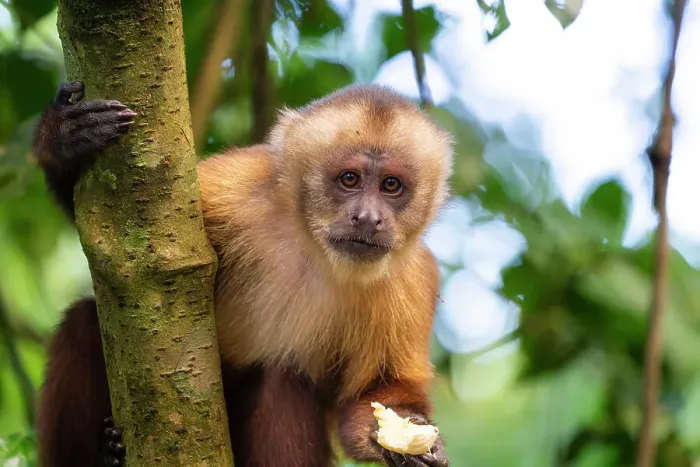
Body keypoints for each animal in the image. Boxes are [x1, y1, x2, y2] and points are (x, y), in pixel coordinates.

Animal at [32, 80, 453, 467]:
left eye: (391, 185)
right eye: (349, 179)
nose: (367, 218)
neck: (315, 250)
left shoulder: (412, 279)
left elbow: (378, 392)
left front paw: (401, 438)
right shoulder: (235, 189)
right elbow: (114, 240)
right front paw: (63, 138)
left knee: (282, 380)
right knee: (84, 321)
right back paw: (100, 457)